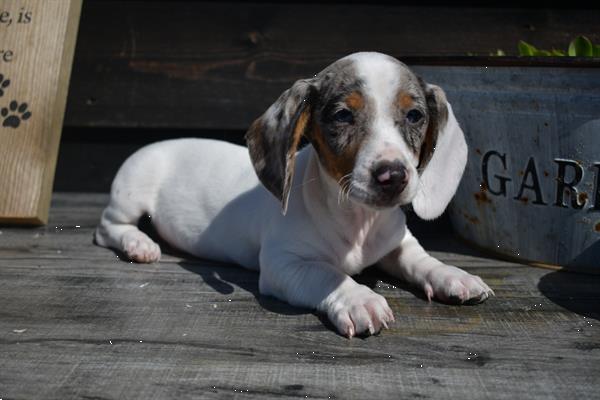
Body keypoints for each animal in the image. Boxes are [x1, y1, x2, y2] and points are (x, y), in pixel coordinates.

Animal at [96, 50, 494, 338]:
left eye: (414, 115)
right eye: (342, 115)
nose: (393, 176)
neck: (356, 220)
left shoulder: (398, 242)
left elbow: (420, 259)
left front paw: (450, 275)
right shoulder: (283, 264)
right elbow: (326, 273)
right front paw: (359, 298)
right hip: (131, 192)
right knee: (106, 227)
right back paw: (138, 244)